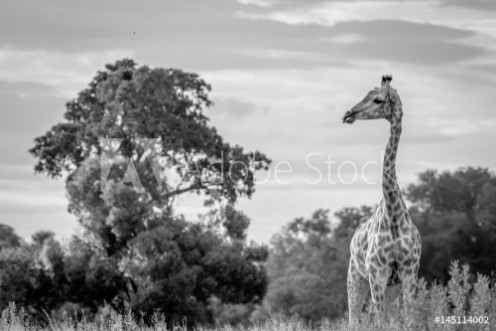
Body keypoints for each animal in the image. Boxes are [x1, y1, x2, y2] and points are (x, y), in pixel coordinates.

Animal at [342, 75, 420, 324]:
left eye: (378, 99)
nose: (348, 114)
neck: (393, 212)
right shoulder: (377, 274)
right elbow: (379, 320)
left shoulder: (409, 272)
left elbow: (409, 319)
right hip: (355, 279)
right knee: (353, 319)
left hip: (391, 286)